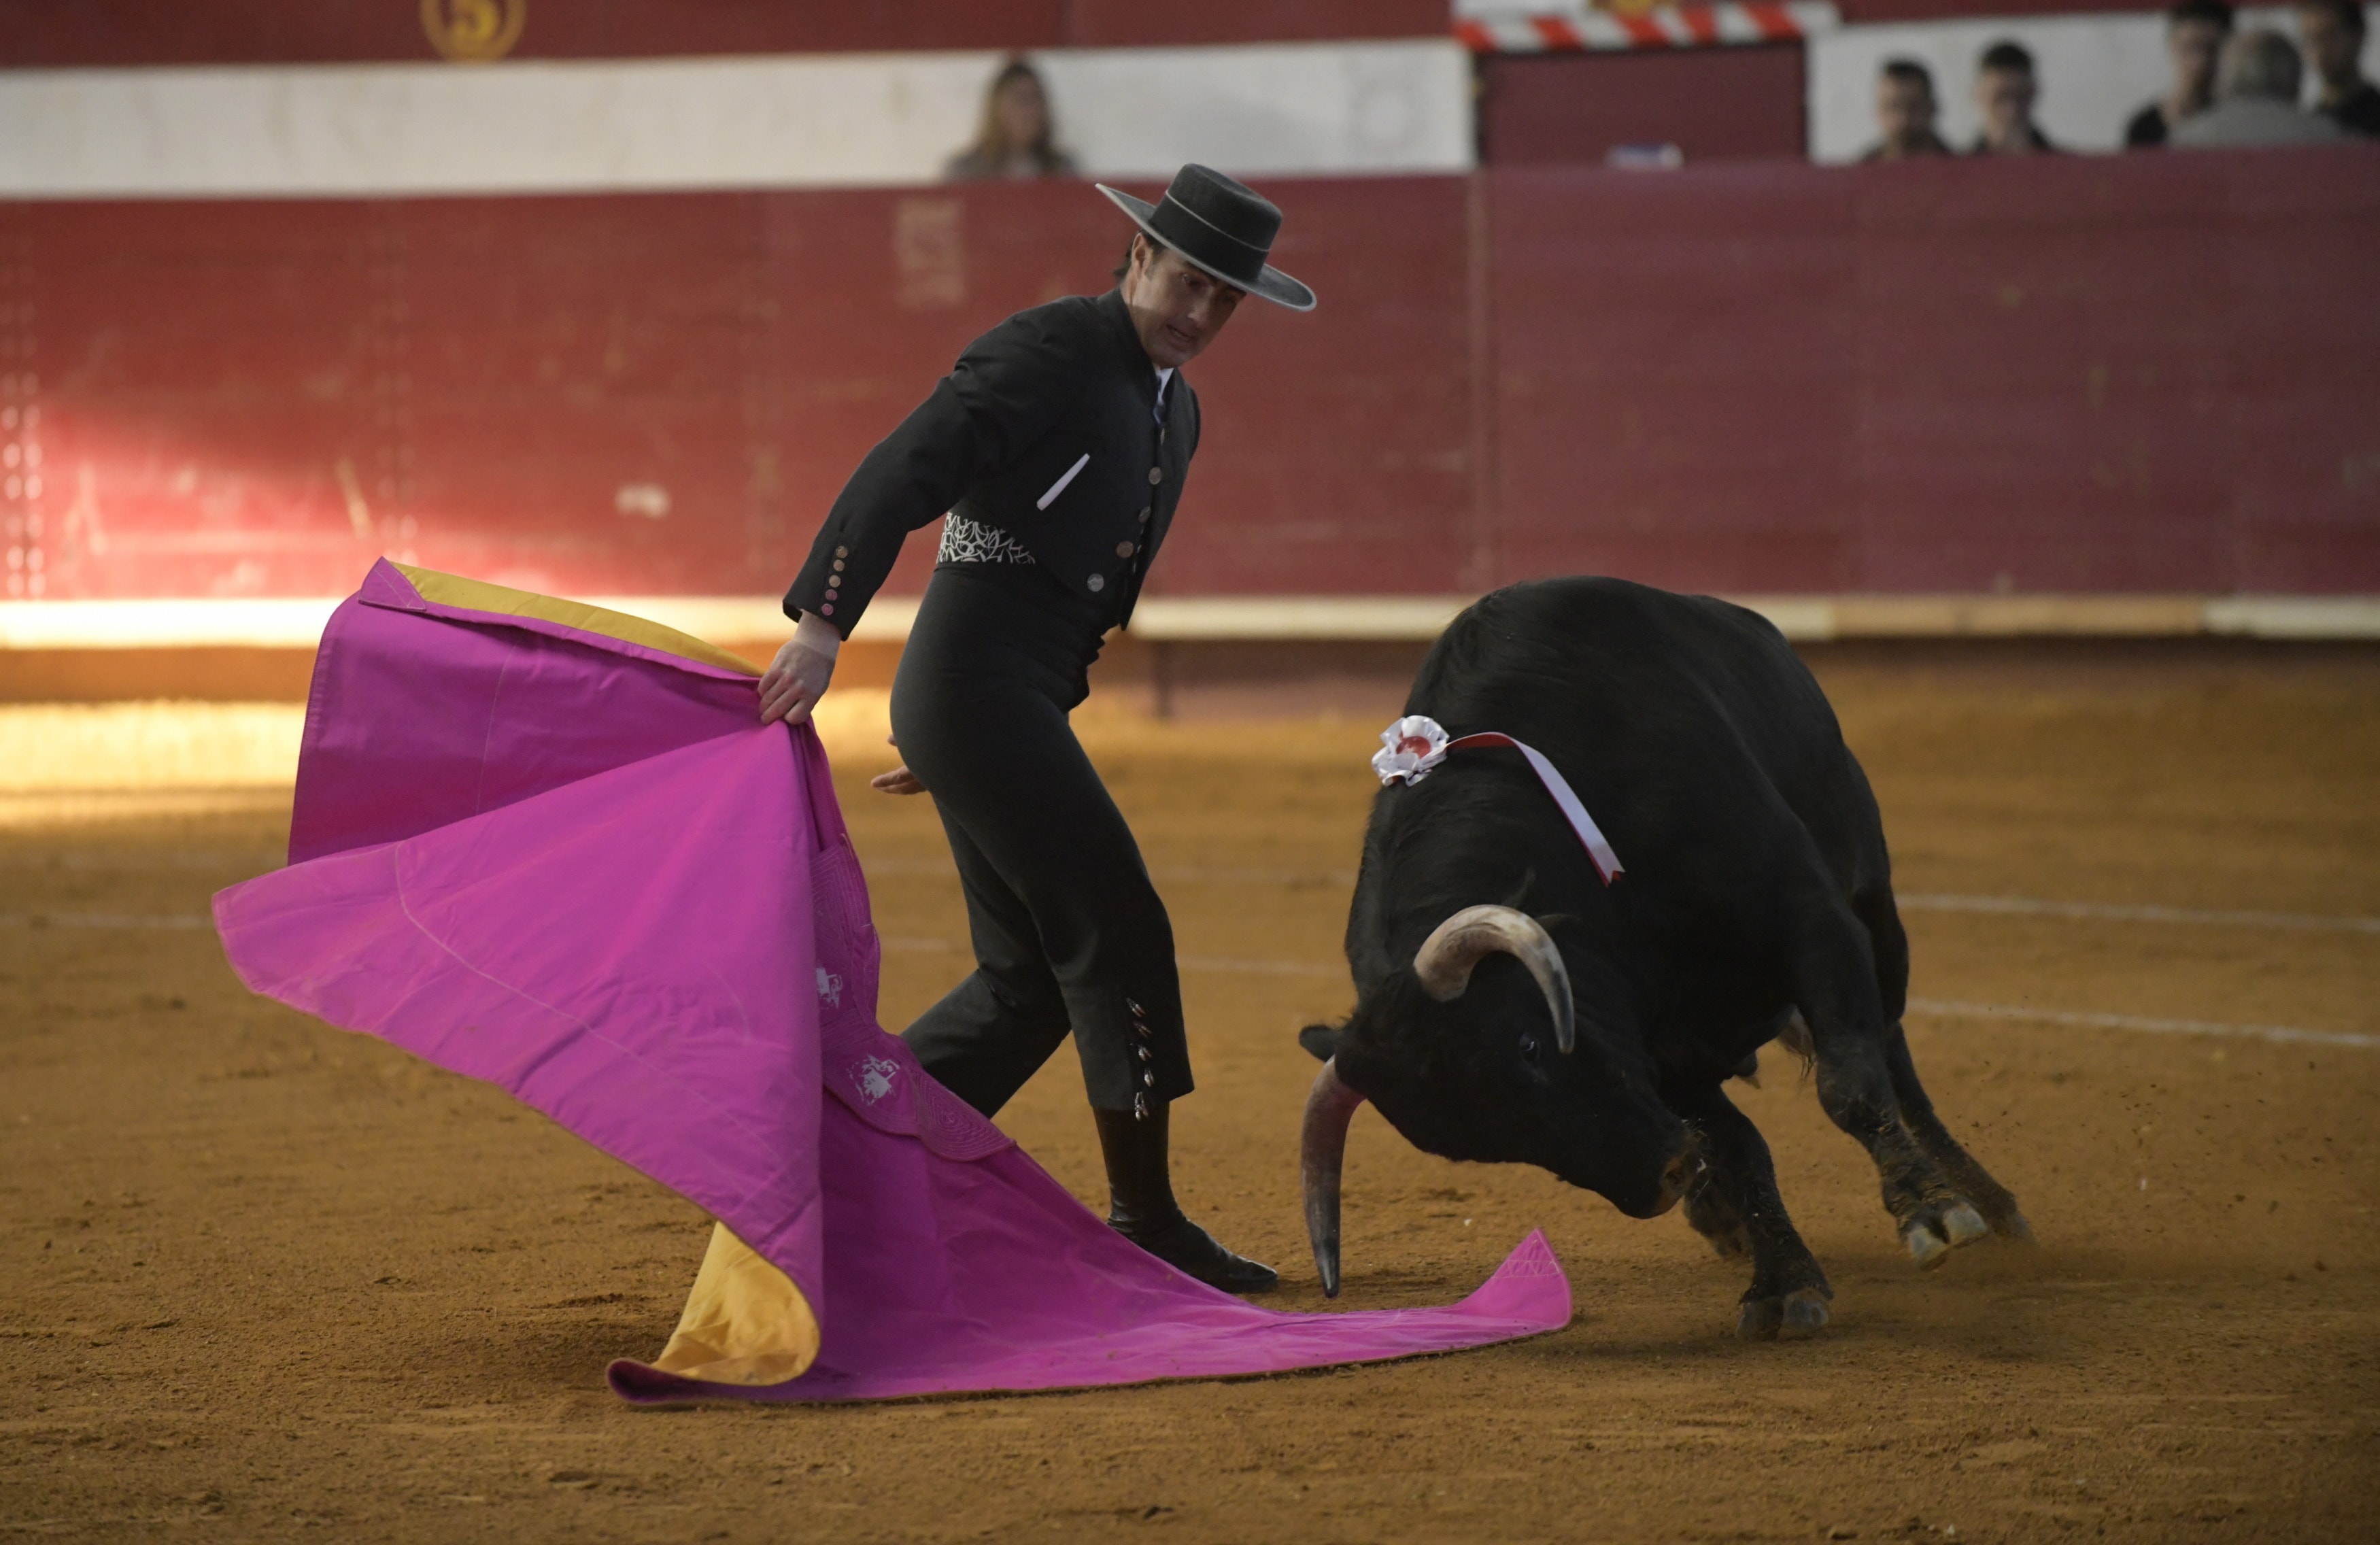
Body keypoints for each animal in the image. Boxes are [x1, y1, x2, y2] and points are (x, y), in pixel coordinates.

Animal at [1304, 578, 2028, 1333]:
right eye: (1485, 1143)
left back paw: (1985, 1203)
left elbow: (1850, 1086)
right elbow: (1739, 1145)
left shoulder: (1812, 921)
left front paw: (1931, 1214)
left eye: (1529, 1045)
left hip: (1875, 909)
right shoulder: (1653, 1046)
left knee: (1892, 1055)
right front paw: (1784, 1284)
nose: (1662, 1177)